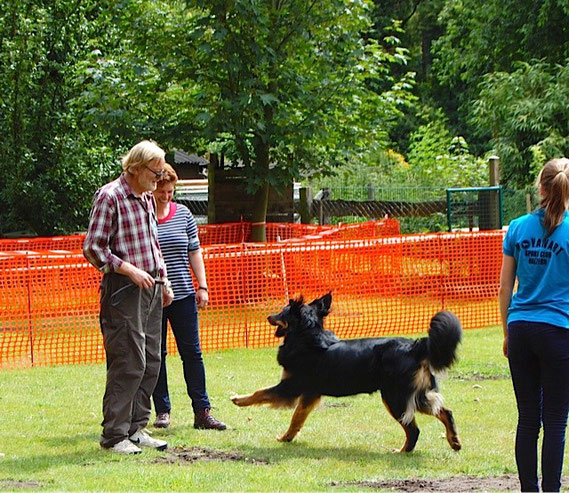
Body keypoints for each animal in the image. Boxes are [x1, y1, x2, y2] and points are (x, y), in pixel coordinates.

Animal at [230, 290, 462, 452]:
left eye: (281, 312)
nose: (268, 316)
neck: (307, 336)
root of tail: (415, 346)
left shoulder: (290, 387)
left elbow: (261, 393)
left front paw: (239, 399)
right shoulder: (310, 394)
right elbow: (297, 419)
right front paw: (286, 437)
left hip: (395, 397)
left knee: (413, 429)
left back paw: (402, 451)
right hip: (414, 395)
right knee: (445, 411)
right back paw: (454, 441)